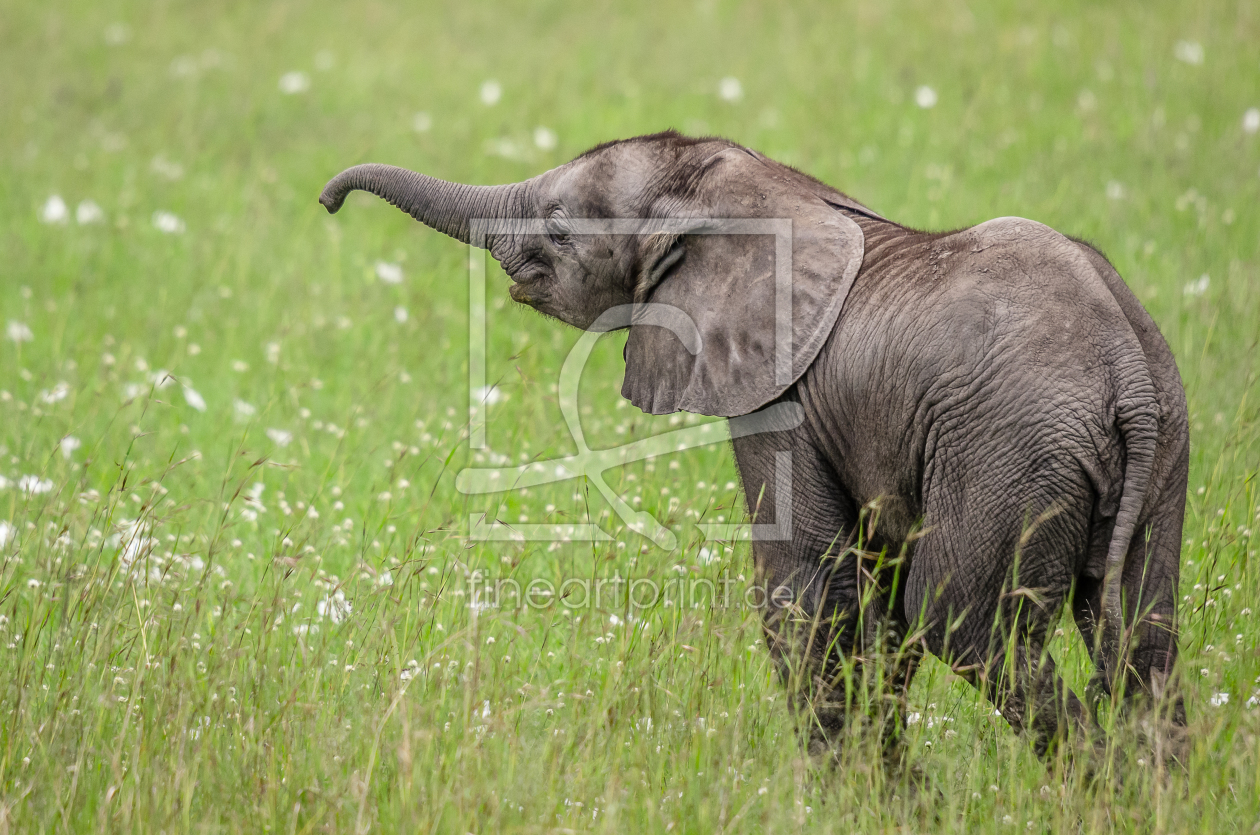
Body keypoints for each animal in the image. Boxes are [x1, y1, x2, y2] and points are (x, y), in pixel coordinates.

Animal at [320, 132, 1184, 770]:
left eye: (561, 227)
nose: (328, 200)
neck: (763, 187)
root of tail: (1125, 372)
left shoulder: (781, 398)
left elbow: (806, 589)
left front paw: (860, 798)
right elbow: (871, 597)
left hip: (1013, 449)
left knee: (962, 620)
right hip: (1161, 444)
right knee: (1144, 632)